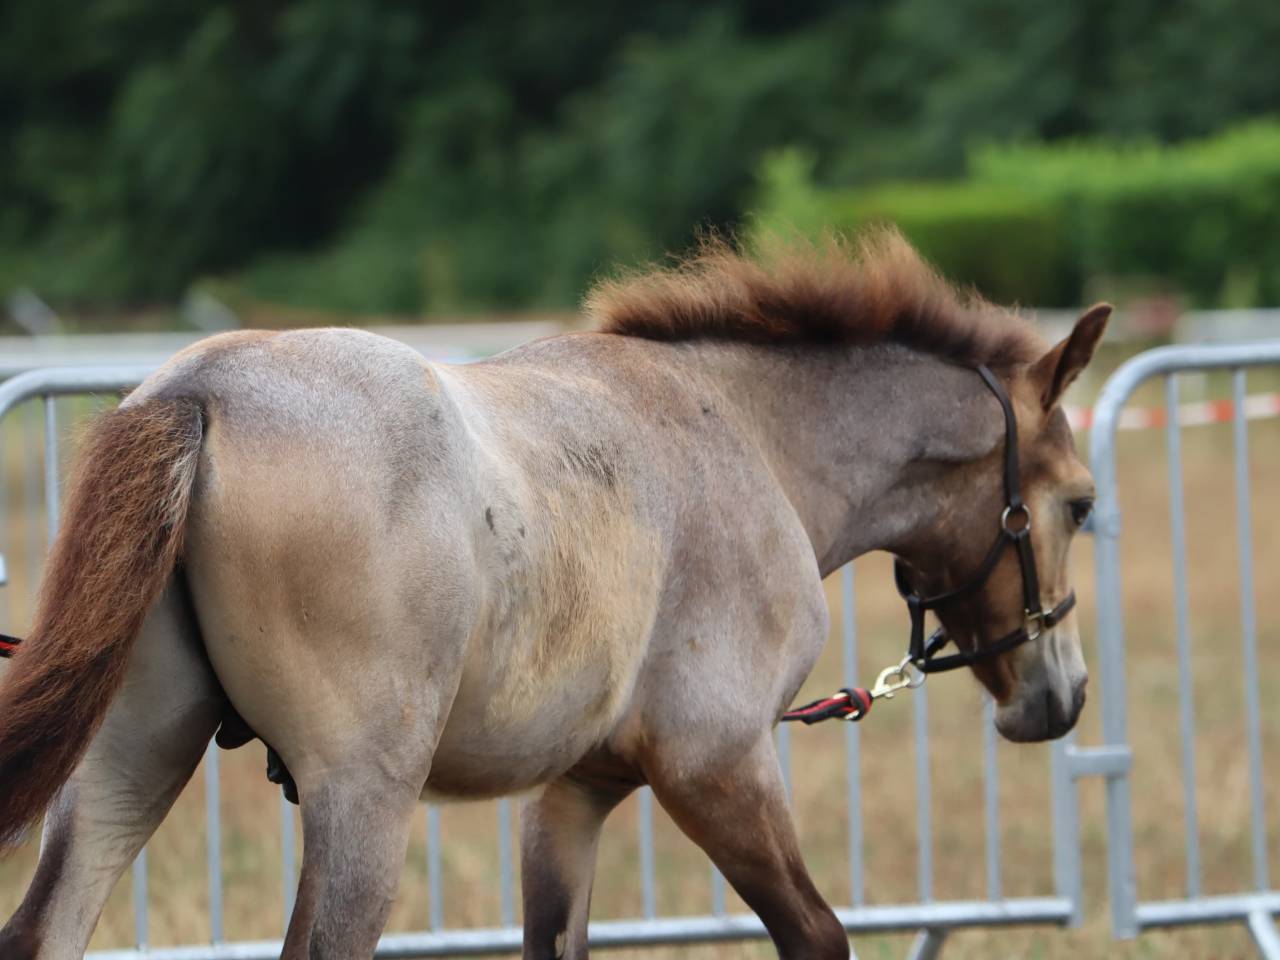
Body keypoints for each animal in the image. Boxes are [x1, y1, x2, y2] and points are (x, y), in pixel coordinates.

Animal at [0, 230, 1107, 959]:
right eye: (1080, 503)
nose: (1062, 697)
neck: (748, 433)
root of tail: (201, 390)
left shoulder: (573, 796)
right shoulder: (720, 766)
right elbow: (818, 935)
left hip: (130, 763)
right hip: (361, 799)